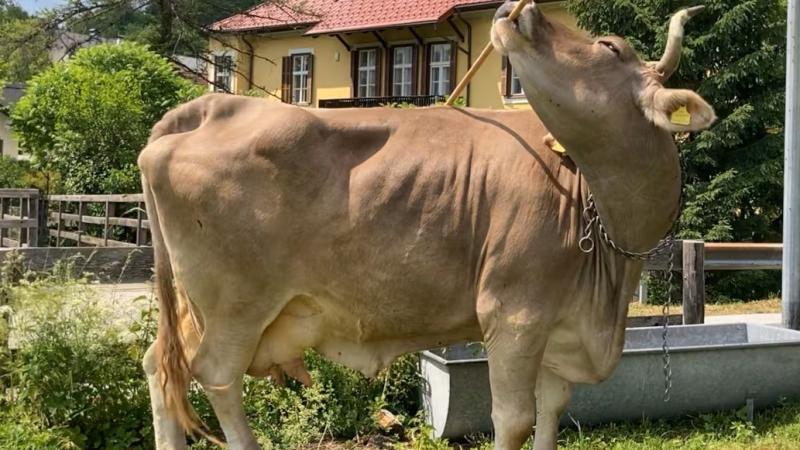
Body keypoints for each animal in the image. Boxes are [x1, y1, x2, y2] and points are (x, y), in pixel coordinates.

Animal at [138, 2, 715, 449]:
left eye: (609, 47)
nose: (522, 10)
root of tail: (210, 106)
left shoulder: (561, 329)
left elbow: (552, 411)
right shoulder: (514, 314)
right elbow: (513, 420)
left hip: (197, 307)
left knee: (162, 370)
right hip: (236, 305)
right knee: (216, 378)